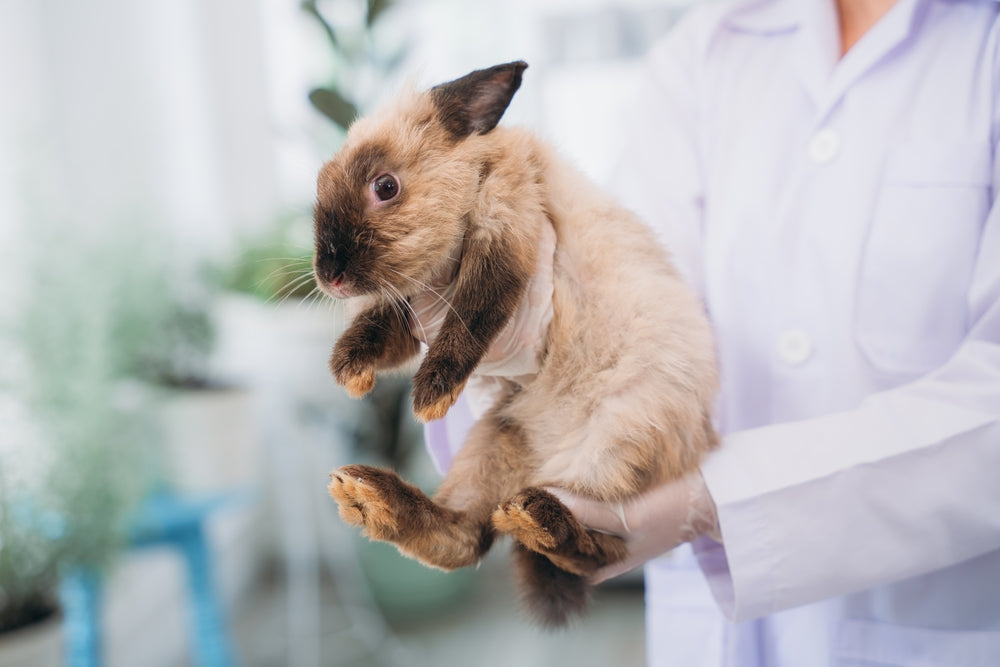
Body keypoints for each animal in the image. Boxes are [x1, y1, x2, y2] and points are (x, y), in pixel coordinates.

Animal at [314, 61, 718, 627]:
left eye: (386, 186)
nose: (329, 277)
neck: (477, 169)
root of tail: (545, 467)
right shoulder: (410, 303)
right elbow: (384, 330)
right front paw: (352, 372)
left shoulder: (506, 239)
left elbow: (472, 319)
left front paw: (428, 396)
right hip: (494, 441)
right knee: (464, 535)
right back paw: (370, 497)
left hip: (623, 438)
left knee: (605, 550)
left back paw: (541, 521)